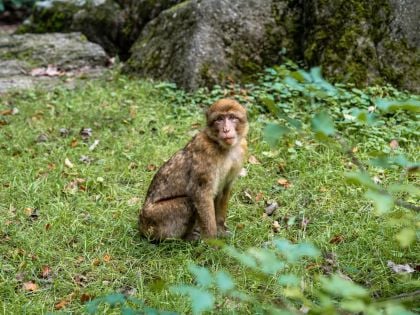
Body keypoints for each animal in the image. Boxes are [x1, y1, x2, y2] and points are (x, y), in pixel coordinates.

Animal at [139, 99, 248, 242]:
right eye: (219, 119)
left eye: (232, 117)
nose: (226, 129)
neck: (222, 147)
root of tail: (140, 224)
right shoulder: (205, 154)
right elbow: (200, 193)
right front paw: (212, 242)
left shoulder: (240, 151)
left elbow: (224, 190)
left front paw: (220, 230)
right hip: (154, 222)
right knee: (187, 202)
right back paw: (186, 237)